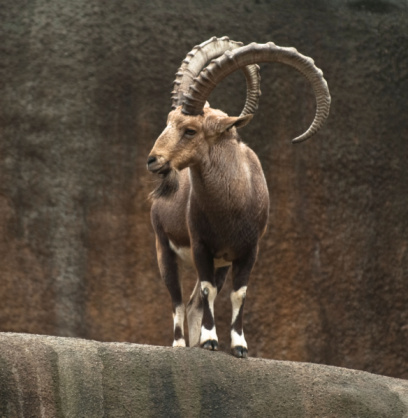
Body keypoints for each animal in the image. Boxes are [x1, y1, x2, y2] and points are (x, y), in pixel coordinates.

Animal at [147, 37, 332, 358]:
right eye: (169, 121)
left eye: (190, 130)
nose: (153, 160)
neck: (231, 206)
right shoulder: (201, 246)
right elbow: (207, 291)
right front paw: (210, 340)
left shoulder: (248, 250)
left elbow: (238, 293)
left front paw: (239, 345)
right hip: (164, 247)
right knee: (178, 300)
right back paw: (182, 344)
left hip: (220, 263)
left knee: (192, 302)